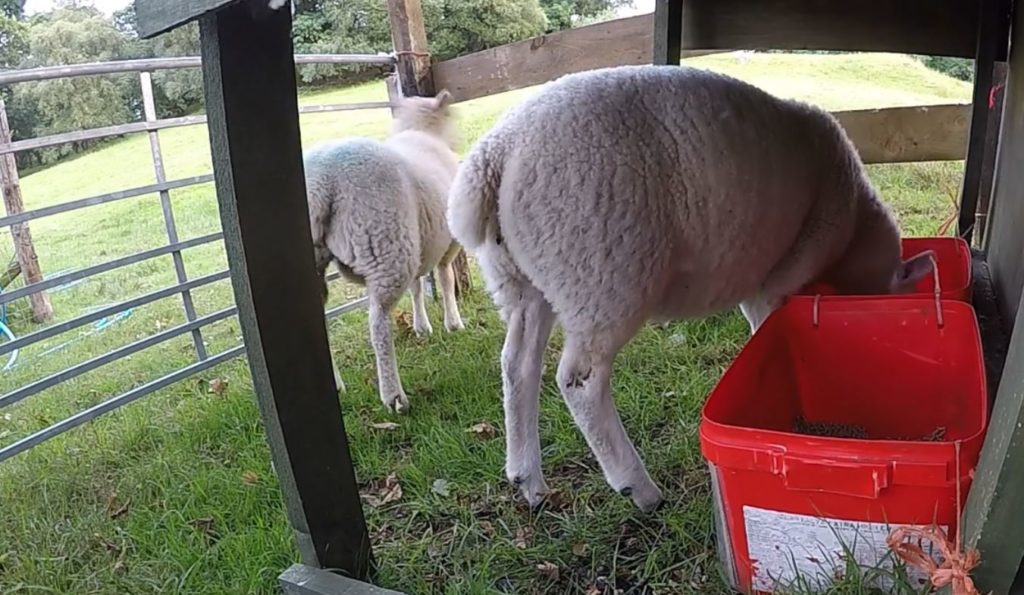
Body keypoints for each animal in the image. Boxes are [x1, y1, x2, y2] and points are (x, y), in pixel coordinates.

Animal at [303, 89, 464, 413]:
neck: (425, 133)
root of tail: (322, 182)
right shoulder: (448, 242)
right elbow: (445, 279)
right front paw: (453, 322)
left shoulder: (417, 243)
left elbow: (417, 287)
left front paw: (422, 326)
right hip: (386, 248)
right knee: (378, 323)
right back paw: (394, 396)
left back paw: (336, 384)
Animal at [448, 63, 937, 510]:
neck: (855, 223)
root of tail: (497, 154)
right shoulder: (787, 268)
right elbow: (768, 323)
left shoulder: (757, 281)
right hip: (601, 270)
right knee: (580, 380)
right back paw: (638, 487)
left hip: (523, 278)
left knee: (518, 364)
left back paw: (527, 478)